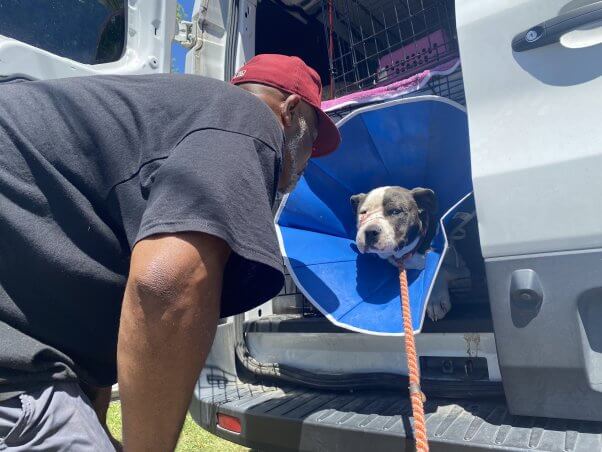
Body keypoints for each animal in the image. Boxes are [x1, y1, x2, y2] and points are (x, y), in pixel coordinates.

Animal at [352, 185, 450, 320]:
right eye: (363, 213)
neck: (405, 254)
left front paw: (435, 299)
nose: (370, 231)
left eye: (395, 211)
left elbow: (438, 270)